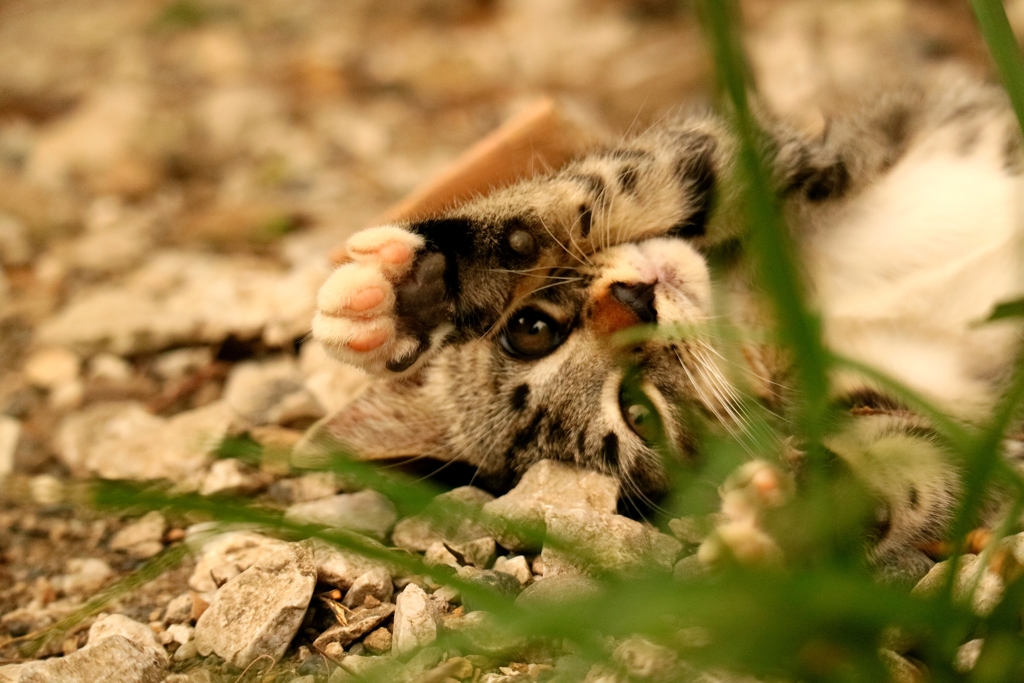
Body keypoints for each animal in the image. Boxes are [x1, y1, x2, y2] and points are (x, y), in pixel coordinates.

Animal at [307, 78, 1024, 581]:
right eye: (638, 415)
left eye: (531, 328)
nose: (633, 302)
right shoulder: (948, 428)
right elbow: (908, 471)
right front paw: (794, 514)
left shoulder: (757, 155)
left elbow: (599, 190)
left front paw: (420, 288)